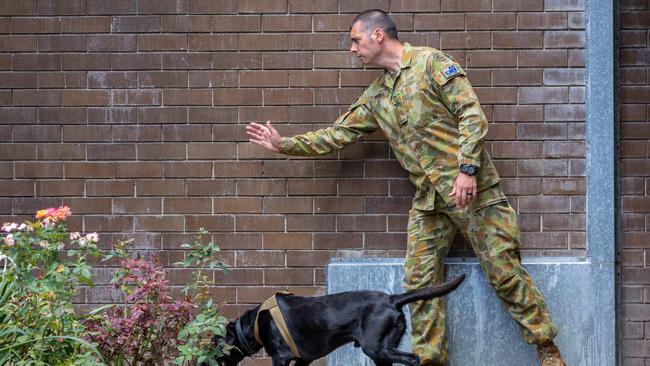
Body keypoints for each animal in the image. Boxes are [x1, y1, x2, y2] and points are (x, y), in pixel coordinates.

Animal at [210, 274, 464, 366]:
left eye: (214, 344)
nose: (204, 362)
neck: (254, 324)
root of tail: (392, 299)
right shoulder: (303, 360)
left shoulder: (281, 357)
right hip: (381, 352)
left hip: (376, 347)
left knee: (413, 359)